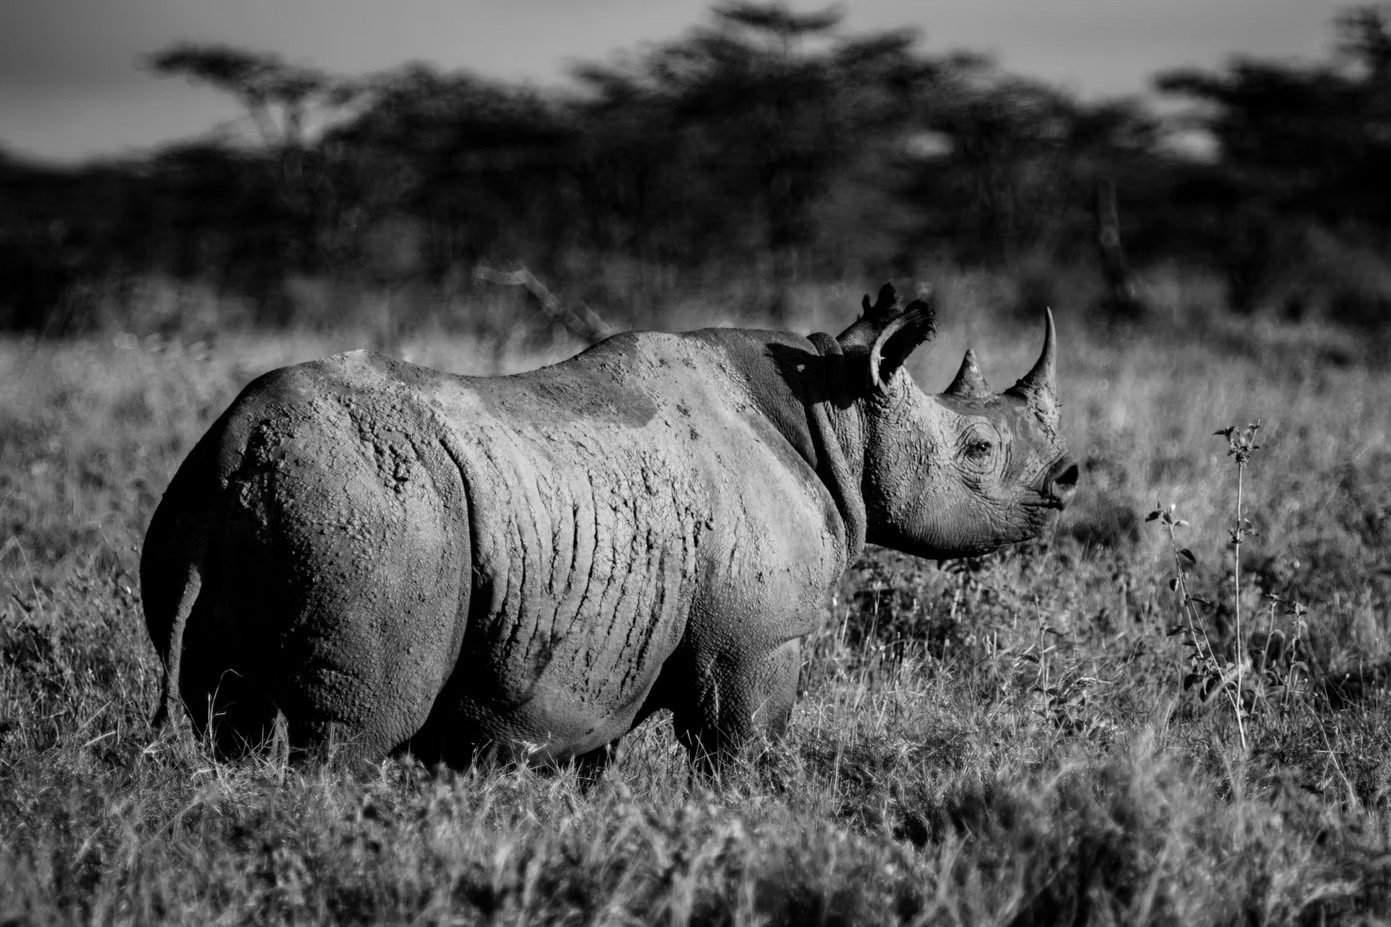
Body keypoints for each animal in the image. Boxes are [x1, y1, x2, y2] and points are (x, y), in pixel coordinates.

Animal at [141, 284, 1077, 772]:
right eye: (978, 447)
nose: (1066, 480)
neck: (837, 415)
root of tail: (238, 446)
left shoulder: (603, 651)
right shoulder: (756, 643)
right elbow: (739, 749)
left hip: (211, 505)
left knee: (226, 711)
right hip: (387, 510)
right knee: (350, 735)